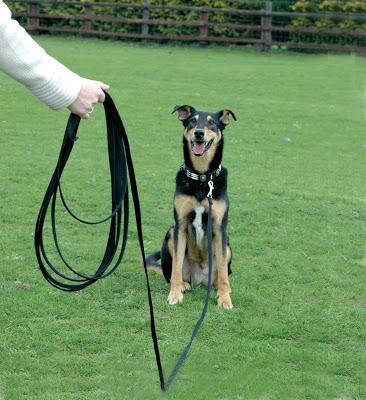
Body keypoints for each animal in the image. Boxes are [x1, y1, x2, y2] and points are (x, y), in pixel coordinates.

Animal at [147, 104, 236, 310]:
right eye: (192, 121)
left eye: (212, 123)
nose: (199, 133)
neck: (202, 177)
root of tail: (200, 280)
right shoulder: (180, 224)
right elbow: (176, 270)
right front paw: (175, 294)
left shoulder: (220, 228)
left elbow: (223, 275)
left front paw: (224, 299)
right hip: (171, 233)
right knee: (173, 272)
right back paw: (183, 285)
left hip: (227, 245)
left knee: (221, 275)